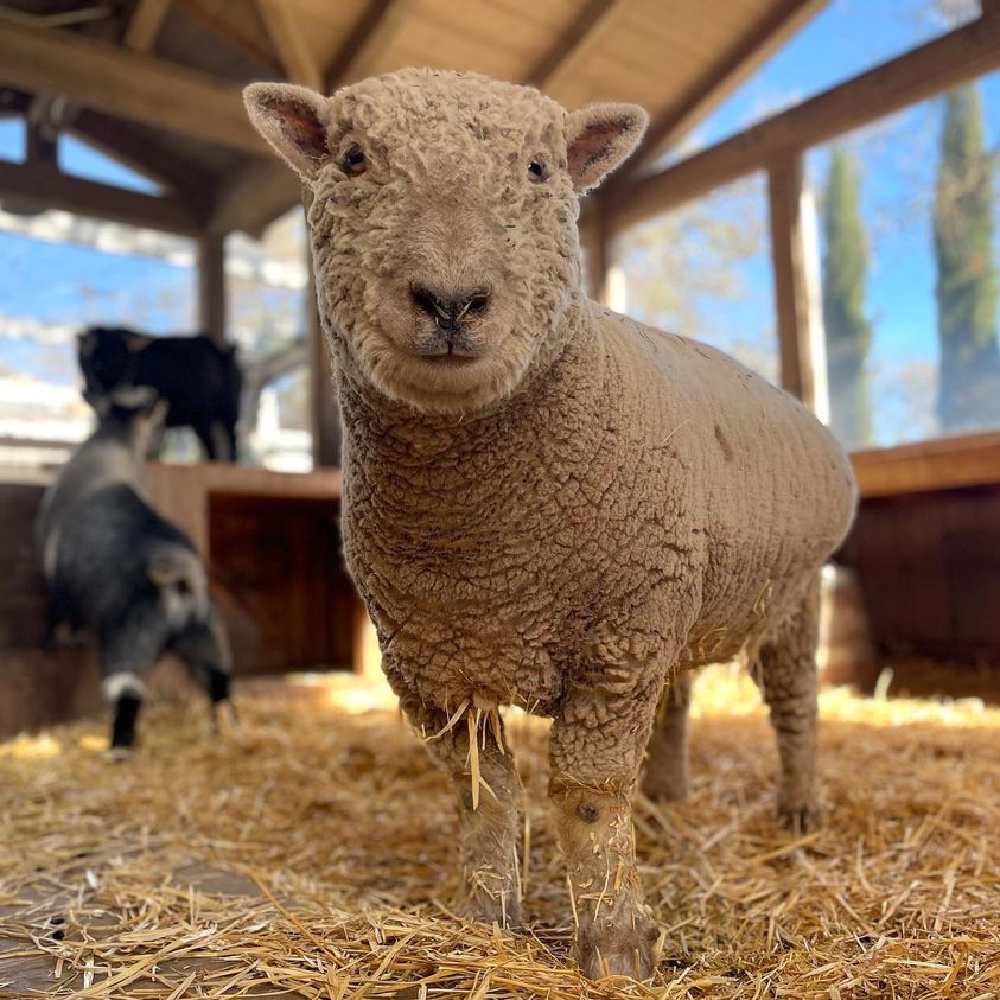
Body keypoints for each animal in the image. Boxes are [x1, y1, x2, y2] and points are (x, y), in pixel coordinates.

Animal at [36, 386, 233, 752]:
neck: (112, 441)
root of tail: (181, 575)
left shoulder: (57, 583)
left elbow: (58, 615)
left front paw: (57, 641)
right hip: (203, 634)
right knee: (219, 679)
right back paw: (227, 730)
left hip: (129, 635)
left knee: (127, 693)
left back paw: (119, 749)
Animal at [244, 74, 860, 980]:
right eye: (354, 161)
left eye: (538, 169)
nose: (451, 301)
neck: (482, 541)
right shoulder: (429, 663)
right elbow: (485, 795)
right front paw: (486, 920)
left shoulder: (616, 641)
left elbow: (589, 796)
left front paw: (614, 944)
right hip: (679, 591)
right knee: (678, 697)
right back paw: (667, 796)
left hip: (784, 597)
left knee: (795, 707)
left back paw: (802, 808)